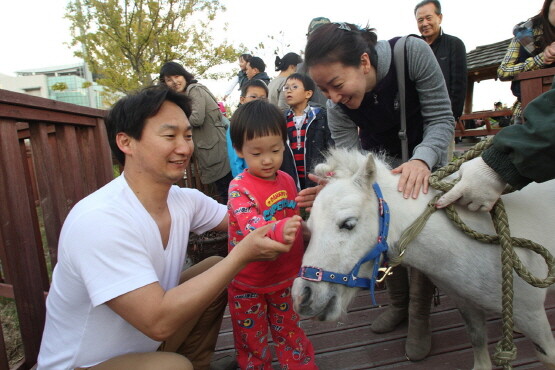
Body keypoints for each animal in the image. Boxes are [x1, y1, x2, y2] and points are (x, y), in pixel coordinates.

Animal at [292, 149, 555, 370]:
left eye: (348, 223)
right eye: (309, 227)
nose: (303, 296)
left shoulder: (530, 314)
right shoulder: (466, 303)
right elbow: (478, 341)